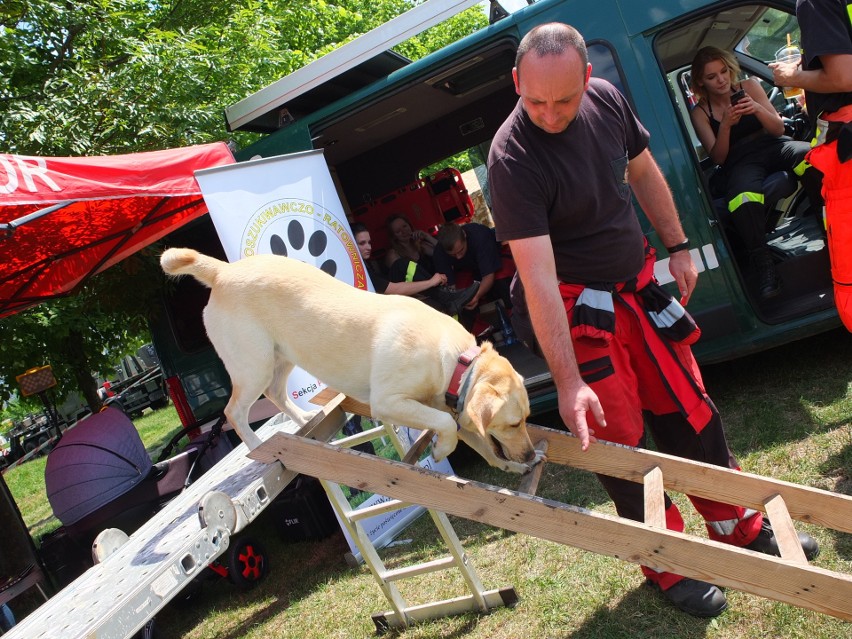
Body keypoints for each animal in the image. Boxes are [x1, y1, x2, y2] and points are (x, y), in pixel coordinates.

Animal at [160, 250, 540, 476]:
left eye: (526, 420)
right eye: (512, 423)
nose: (528, 455)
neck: (456, 361)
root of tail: (223, 271)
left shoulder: (447, 406)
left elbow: (475, 439)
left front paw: (509, 468)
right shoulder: (388, 401)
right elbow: (445, 425)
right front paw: (441, 448)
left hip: (280, 358)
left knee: (276, 394)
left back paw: (305, 419)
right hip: (253, 366)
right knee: (234, 412)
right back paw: (257, 448)